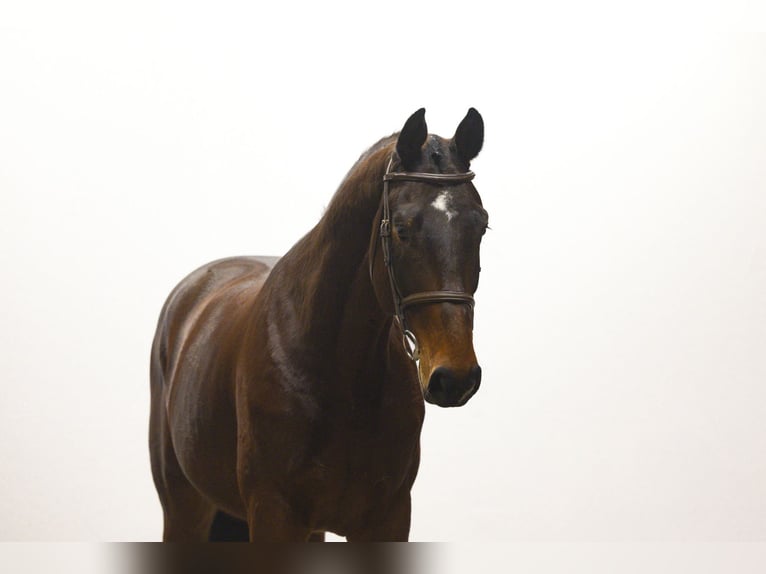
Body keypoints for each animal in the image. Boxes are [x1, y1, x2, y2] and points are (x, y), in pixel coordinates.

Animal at [149, 108, 488, 541]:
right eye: (402, 229)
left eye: (481, 226)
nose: (455, 377)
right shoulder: (275, 515)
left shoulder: (389, 517)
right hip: (184, 506)